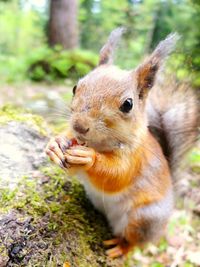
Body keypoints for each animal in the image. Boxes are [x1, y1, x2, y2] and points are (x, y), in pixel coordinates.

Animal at [45, 28, 198, 258]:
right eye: (75, 87)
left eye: (128, 105)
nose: (80, 126)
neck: (98, 144)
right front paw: (55, 144)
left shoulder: (134, 158)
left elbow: (116, 175)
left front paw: (89, 158)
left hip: (143, 219)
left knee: (135, 242)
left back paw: (119, 246)